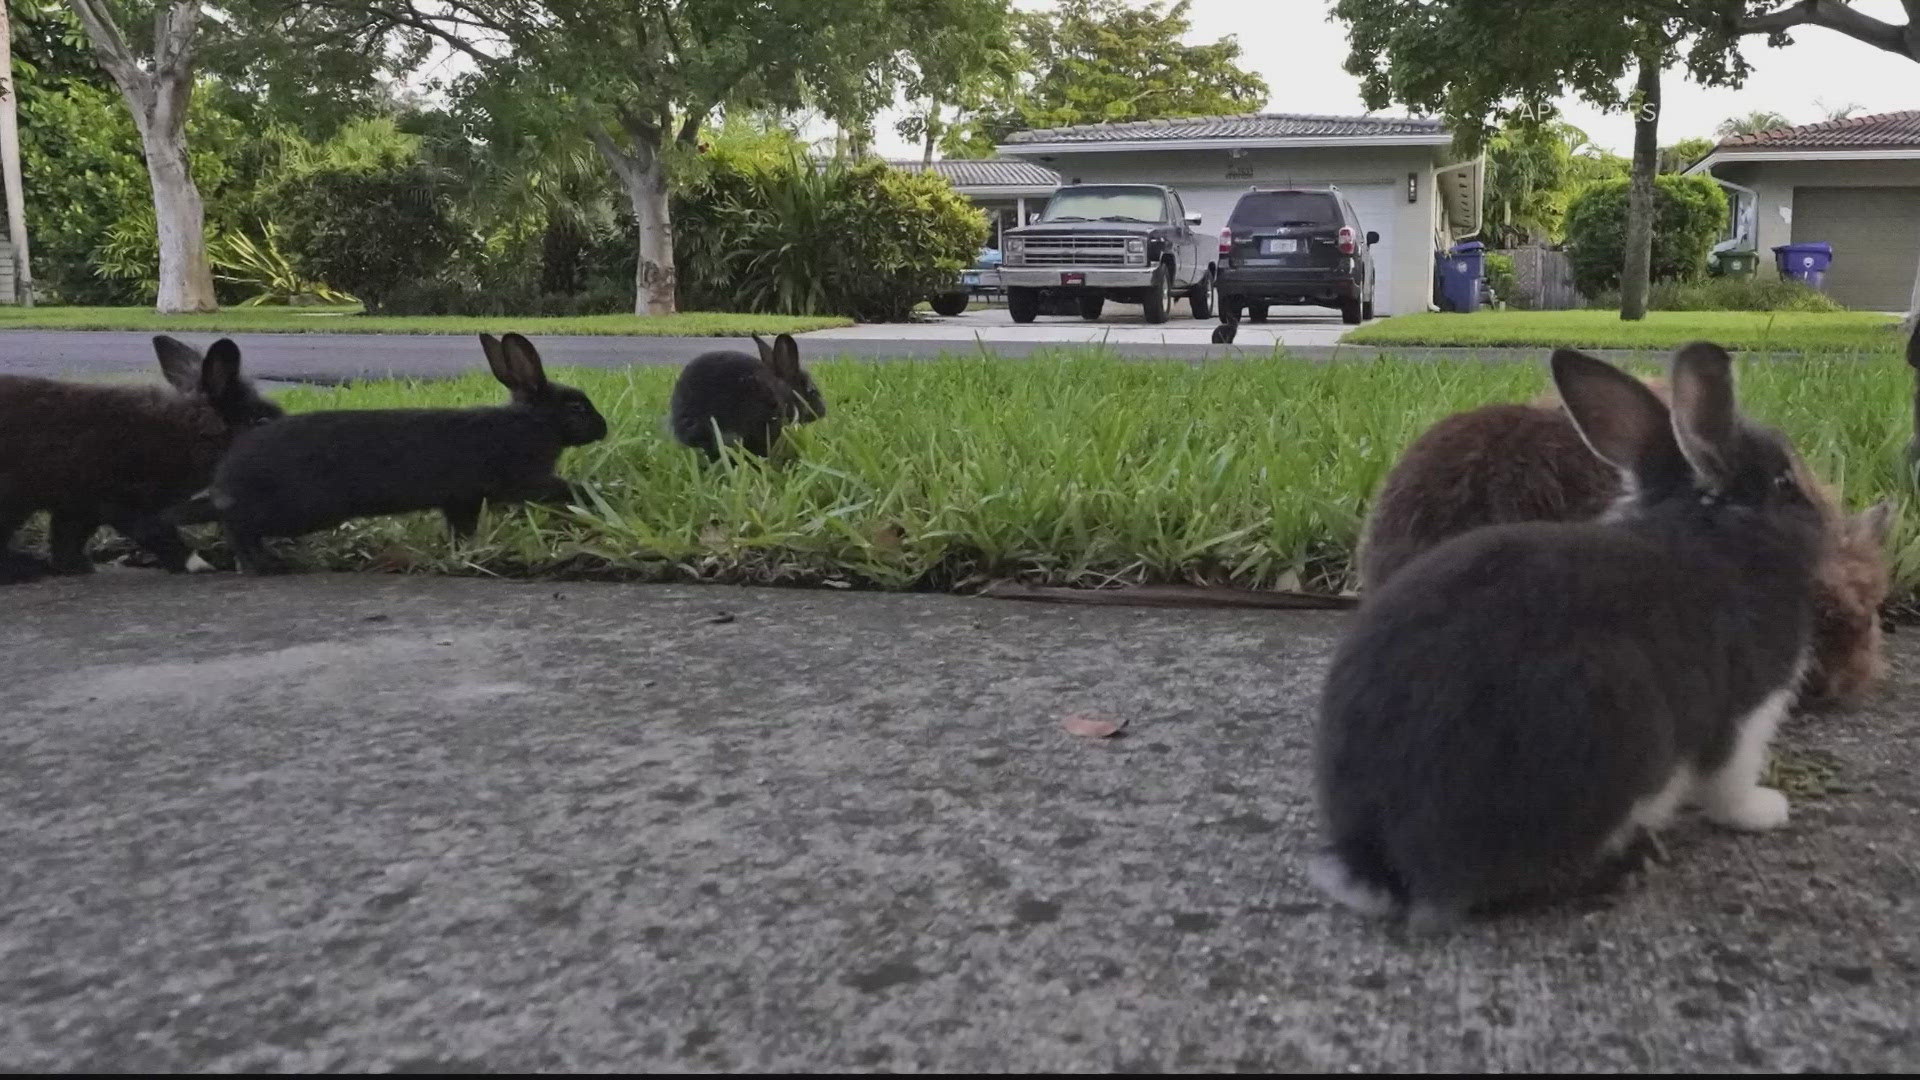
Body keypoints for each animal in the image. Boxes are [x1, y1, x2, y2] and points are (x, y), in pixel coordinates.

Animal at [0, 335, 282, 583]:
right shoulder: (124, 502)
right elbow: (155, 533)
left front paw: (77, 567)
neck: (189, 433)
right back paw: (24, 569)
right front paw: (200, 566)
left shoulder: (78, 508)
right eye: (260, 421)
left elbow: (67, 539)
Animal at [201, 333, 607, 575]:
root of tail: (228, 472)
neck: (533, 422)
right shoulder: (523, 480)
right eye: (577, 407)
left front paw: (463, 553)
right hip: (296, 509)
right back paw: (267, 564)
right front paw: (588, 497)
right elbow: (558, 488)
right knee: (239, 527)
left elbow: (461, 528)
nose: (604, 428)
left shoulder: (462, 500)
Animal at [1313, 343, 1827, 931]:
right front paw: (1765, 811)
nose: (1823, 515)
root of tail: (1383, 865)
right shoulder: (1745, 711)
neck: (1716, 524)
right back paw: (1627, 864)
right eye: (1785, 483)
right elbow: (1730, 782)